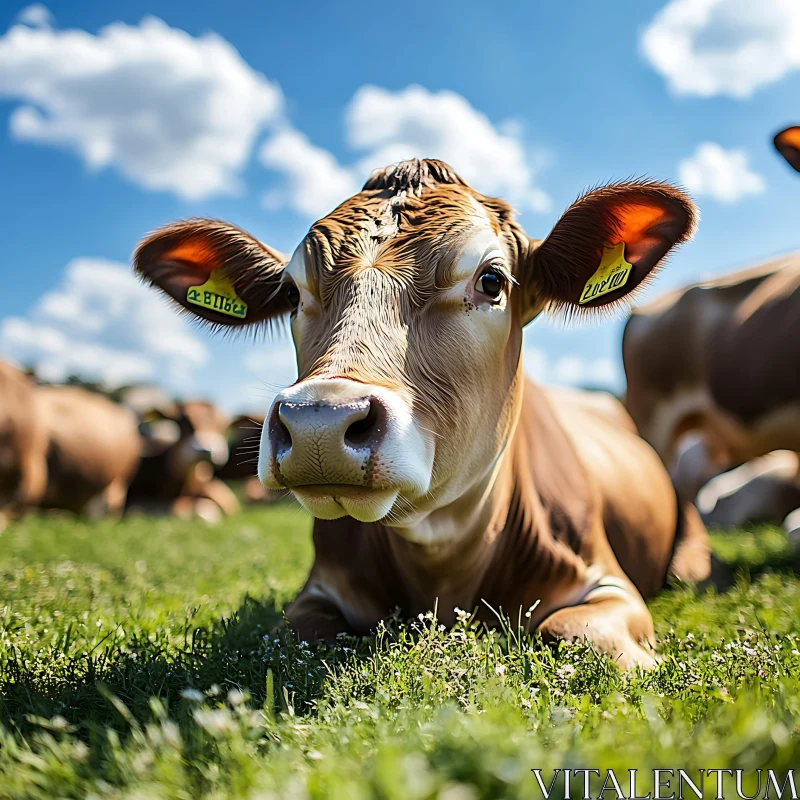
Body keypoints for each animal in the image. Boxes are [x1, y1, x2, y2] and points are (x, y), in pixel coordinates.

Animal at [133, 158, 712, 668]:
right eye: (293, 293)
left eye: (491, 280)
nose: (319, 421)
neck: (442, 557)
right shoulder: (317, 591)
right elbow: (295, 631)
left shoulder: (610, 584)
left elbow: (575, 629)